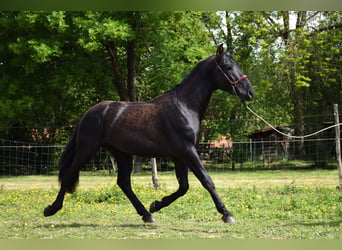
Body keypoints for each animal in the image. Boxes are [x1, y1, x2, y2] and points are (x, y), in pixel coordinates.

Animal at [44, 44, 254, 223]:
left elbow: (183, 187)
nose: (250, 92)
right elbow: (206, 181)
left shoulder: (179, 156)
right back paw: (51, 209)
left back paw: (146, 214)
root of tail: (89, 113)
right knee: (70, 173)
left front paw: (156, 205)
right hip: (87, 149)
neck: (184, 106)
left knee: (123, 183)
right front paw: (227, 214)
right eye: (227, 67)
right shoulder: (187, 151)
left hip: (122, 154)